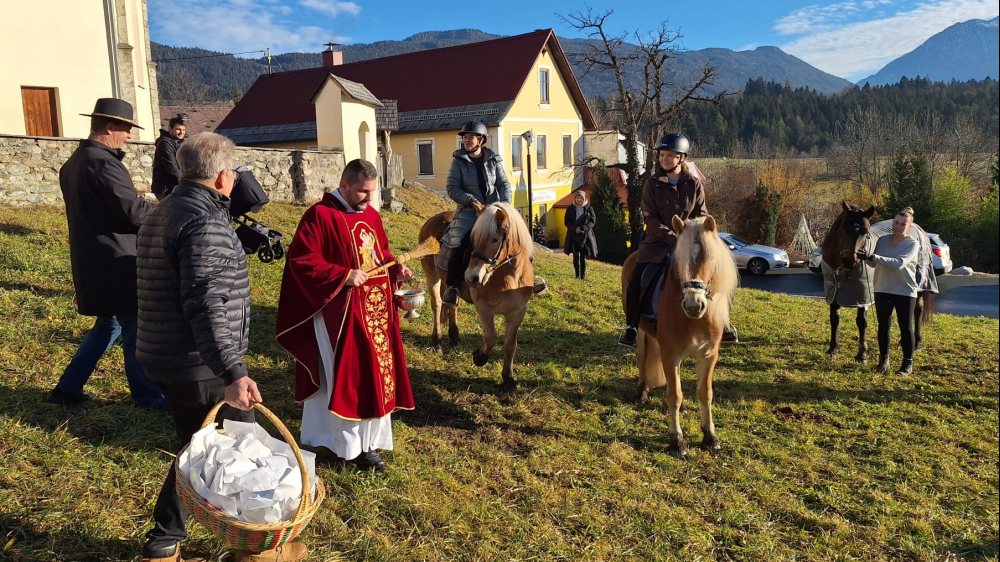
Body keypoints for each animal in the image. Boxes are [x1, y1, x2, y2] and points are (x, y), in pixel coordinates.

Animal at [418, 201, 536, 390]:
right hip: (432, 276)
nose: (471, 277)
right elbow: (491, 337)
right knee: (437, 305)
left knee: (451, 305)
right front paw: (479, 357)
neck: (508, 276)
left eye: (495, 239)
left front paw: (508, 379)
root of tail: (432, 219)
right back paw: (437, 341)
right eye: (473, 240)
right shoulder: (484, 309)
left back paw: (454, 337)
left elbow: (511, 344)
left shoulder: (517, 312)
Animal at [620, 213, 740, 456]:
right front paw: (677, 441)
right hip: (641, 332)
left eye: (709, 259)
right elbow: (673, 395)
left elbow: (705, 393)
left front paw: (710, 437)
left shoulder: (708, 355)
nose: (694, 305)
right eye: (679, 263)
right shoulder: (670, 353)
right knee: (642, 357)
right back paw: (642, 392)